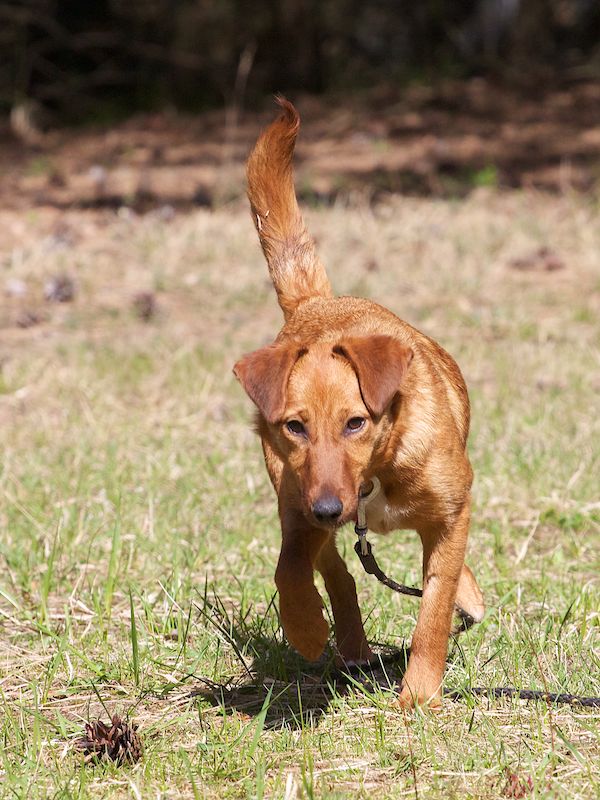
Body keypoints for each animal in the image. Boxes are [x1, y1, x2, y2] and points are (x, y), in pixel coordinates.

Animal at [233, 98, 484, 708]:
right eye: (294, 426)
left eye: (355, 423)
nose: (330, 509)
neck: (375, 473)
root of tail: (315, 303)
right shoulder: (299, 504)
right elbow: (290, 570)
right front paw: (305, 629)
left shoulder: (452, 512)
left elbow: (435, 604)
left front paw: (419, 694)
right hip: (293, 492)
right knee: (337, 573)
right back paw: (347, 642)